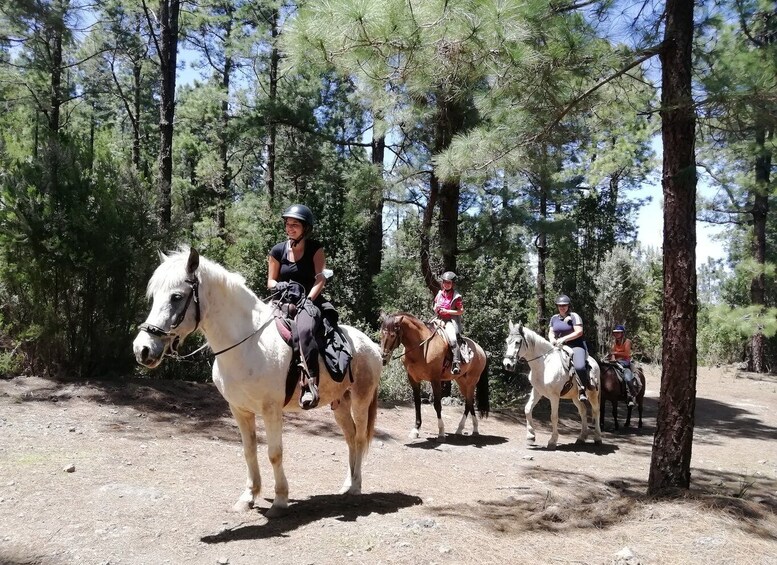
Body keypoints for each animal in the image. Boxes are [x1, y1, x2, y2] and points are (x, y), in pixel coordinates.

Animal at [133, 248, 382, 516]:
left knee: (359, 438)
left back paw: (356, 487)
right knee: (350, 439)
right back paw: (347, 483)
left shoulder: (271, 410)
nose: (142, 349)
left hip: (360, 400)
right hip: (339, 404)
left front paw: (280, 500)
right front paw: (248, 496)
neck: (247, 344)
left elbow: (274, 453)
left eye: (176, 296)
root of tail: (371, 345)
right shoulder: (239, 409)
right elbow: (249, 450)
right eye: (153, 296)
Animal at [500, 320, 604, 448]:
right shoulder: (537, 391)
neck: (544, 364)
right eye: (506, 341)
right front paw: (531, 437)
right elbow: (527, 409)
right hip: (576, 397)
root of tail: (595, 362)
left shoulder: (554, 396)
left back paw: (598, 438)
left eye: (517, 342)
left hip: (593, 394)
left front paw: (552, 441)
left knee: (596, 411)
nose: (507, 364)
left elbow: (554, 417)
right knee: (583, 411)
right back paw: (581, 437)